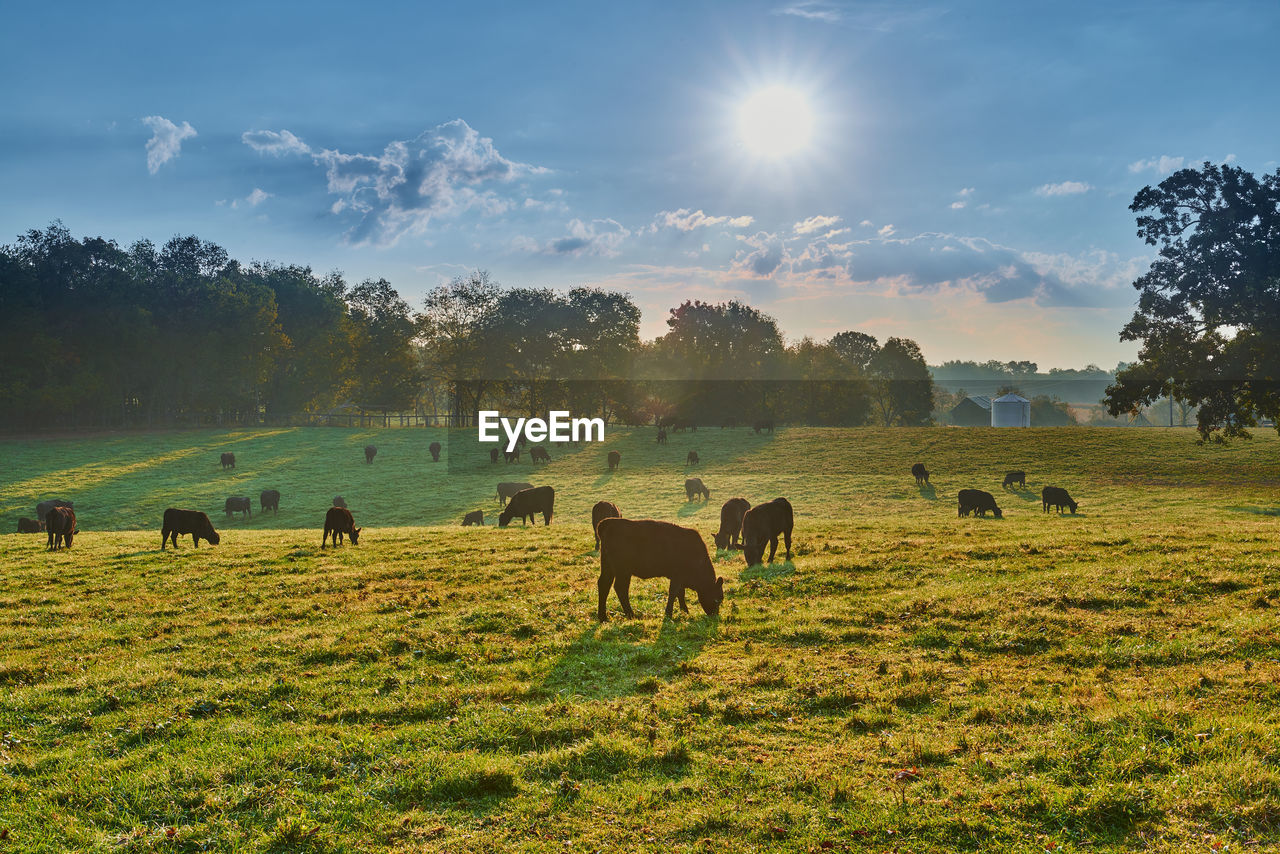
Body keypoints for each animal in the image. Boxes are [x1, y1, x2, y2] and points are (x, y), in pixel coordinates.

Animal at [593, 514, 727, 622]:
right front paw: (669, 614)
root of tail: (608, 523)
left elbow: (680, 593)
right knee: (620, 588)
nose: (715, 615)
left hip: (608, 567)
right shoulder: (677, 576)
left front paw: (684, 611)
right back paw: (631, 615)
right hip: (623, 571)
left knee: (604, 585)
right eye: (717, 599)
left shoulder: (679, 578)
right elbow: (674, 592)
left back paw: (603, 617)